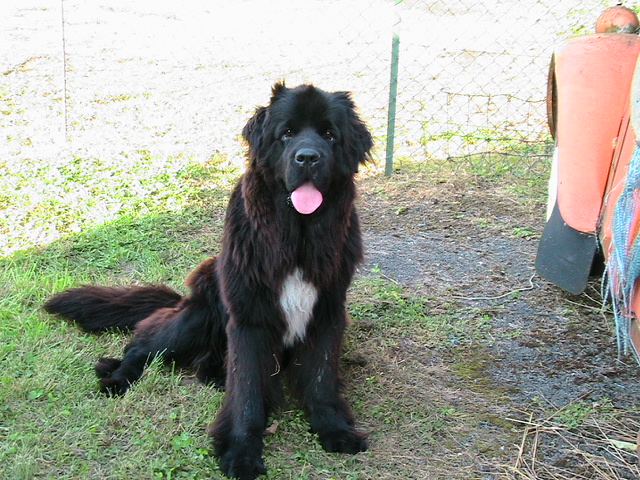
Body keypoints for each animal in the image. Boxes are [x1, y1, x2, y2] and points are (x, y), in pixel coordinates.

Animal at [45, 83, 372, 480]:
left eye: (329, 135)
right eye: (287, 134)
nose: (307, 158)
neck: (296, 236)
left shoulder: (326, 311)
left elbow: (321, 380)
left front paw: (335, 429)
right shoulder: (249, 318)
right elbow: (246, 392)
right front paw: (241, 452)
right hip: (200, 315)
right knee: (143, 345)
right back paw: (119, 378)